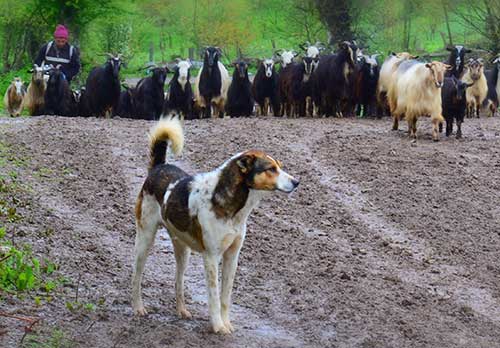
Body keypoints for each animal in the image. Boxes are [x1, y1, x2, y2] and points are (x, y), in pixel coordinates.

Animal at [131, 116, 298, 334]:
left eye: (279, 166)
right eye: (271, 169)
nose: (297, 182)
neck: (233, 209)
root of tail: (158, 167)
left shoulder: (232, 257)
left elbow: (225, 297)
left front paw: (227, 324)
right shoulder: (211, 257)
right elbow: (214, 296)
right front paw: (218, 326)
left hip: (182, 250)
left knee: (178, 281)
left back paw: (182, 310)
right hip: (145, 239)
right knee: (136, 276)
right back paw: (138, 307)